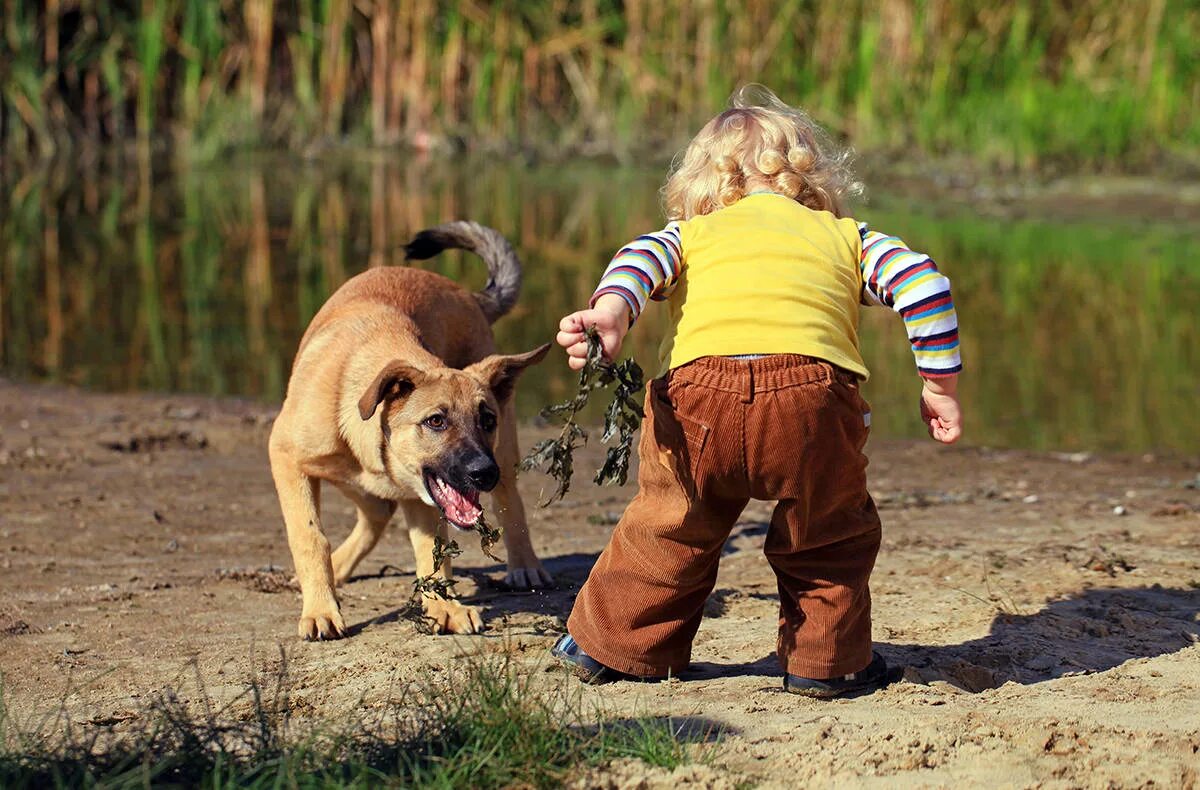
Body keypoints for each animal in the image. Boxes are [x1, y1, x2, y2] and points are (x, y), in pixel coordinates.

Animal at [268, 218, 552, 638]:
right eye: (435, 421)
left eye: (487, 420)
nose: (483, 473)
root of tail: (467, 294)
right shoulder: (286, 457)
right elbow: (310, 536)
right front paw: (320, 609)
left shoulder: (425, 498)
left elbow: (433, 550)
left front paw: (444, 607)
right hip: (345, 476)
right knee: (376, 512)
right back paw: (337, 570)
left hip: (501, 453)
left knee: (508, 501)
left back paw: (525, 565)